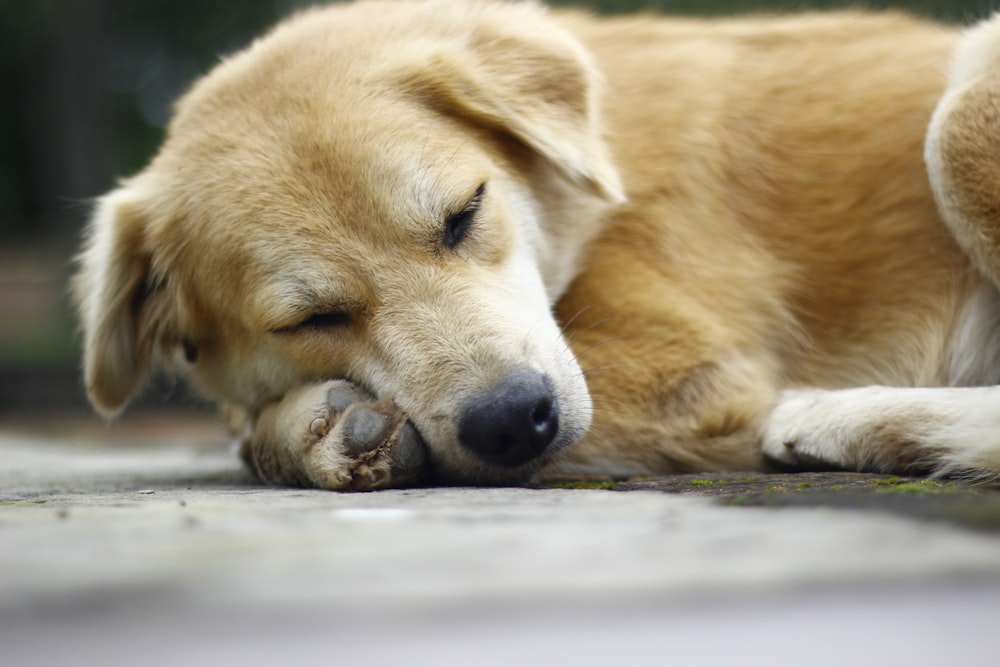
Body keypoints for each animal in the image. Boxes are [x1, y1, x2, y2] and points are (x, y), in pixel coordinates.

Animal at [72, 0, 1000, 490]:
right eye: (312, 319)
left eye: (463, 214)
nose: (515, 421)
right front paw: (315, 425)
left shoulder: (690, 377)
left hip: (960, 121)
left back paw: (855, 417)